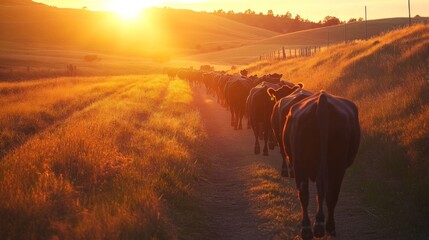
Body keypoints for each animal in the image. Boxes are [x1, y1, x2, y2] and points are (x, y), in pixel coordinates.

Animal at [282, 91, 360, 239]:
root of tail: (322, 100)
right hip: (335, 166)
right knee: (328, 194)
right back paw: (325, 226)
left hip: (301, 165)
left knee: (306, 194)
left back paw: (309, 227)